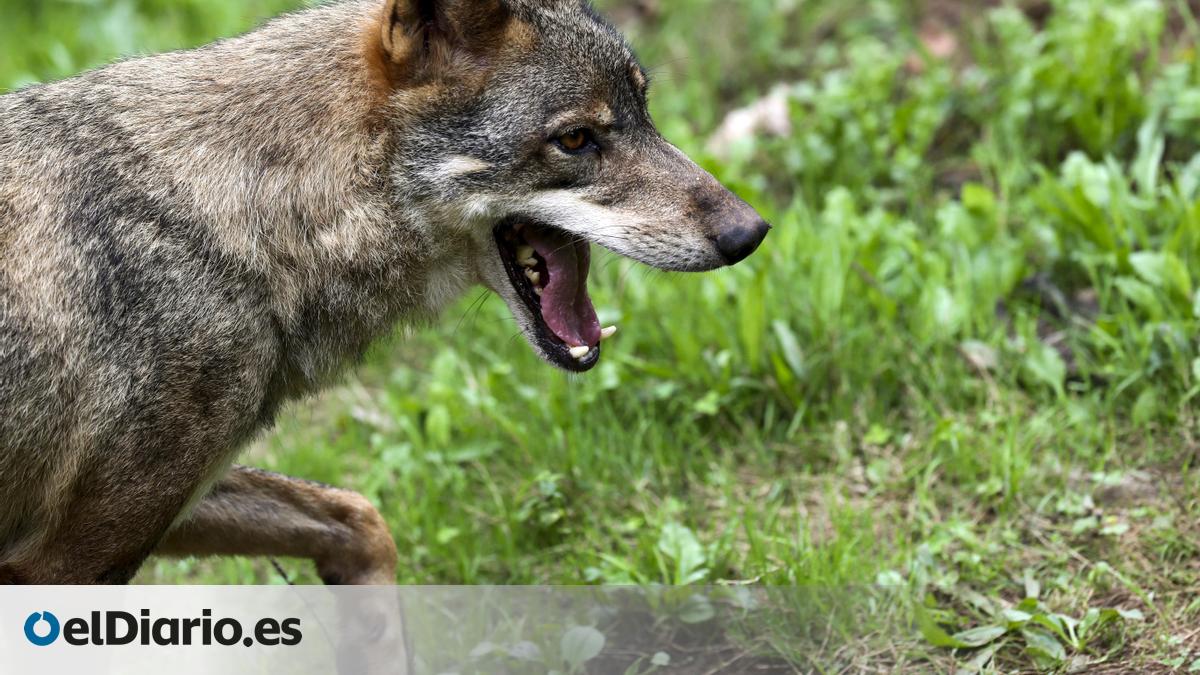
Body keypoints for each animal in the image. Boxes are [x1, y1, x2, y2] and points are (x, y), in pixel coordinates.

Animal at [0, 0, 769, 584]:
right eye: (577, 139)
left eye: (645, 111)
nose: (750, 233)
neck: (244, 222)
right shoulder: (68, 557)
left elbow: (359, 518)